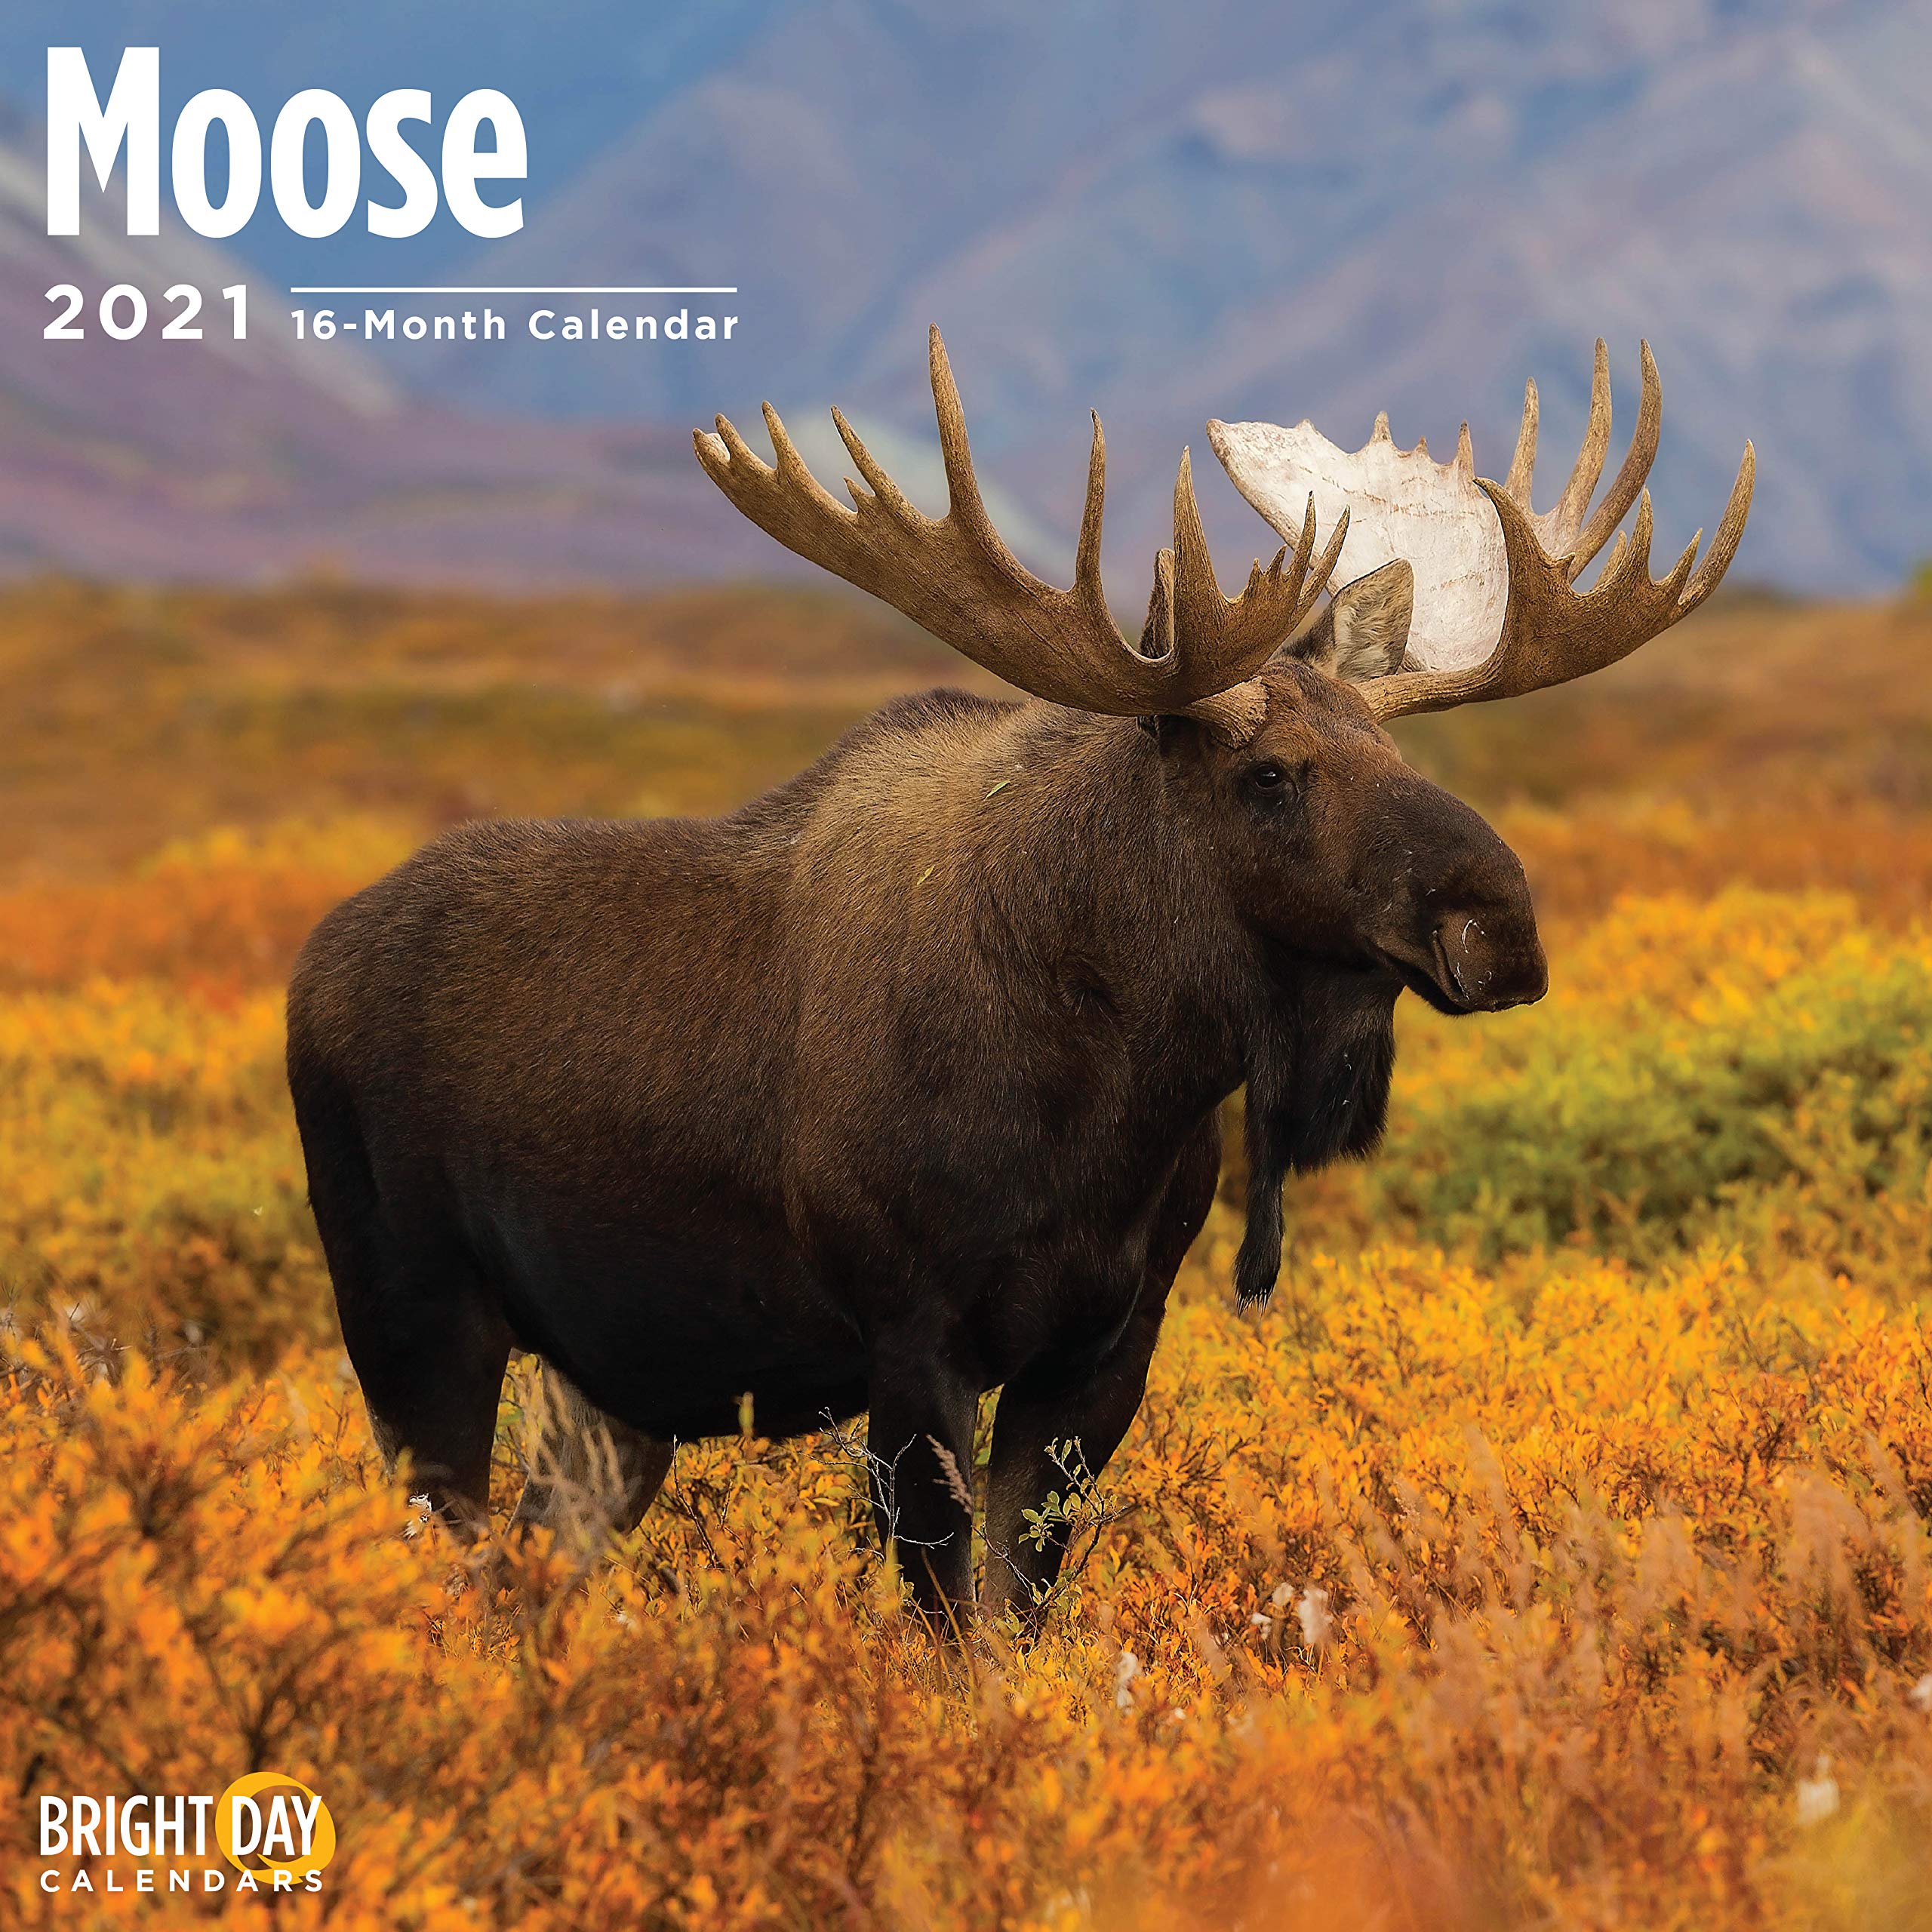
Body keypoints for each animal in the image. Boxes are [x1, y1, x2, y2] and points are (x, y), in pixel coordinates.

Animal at [287, 329, 1751, 1628]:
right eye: (1271, 774)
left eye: (1398, 756)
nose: (1500, 927)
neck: (1114, 1094)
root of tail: (308, 967)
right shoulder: (910, 1338)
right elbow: (954, 1633)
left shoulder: (1104, 1346)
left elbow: (1021, 1606)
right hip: (412, 1318)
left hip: (614, 1385)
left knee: (527, 1582)